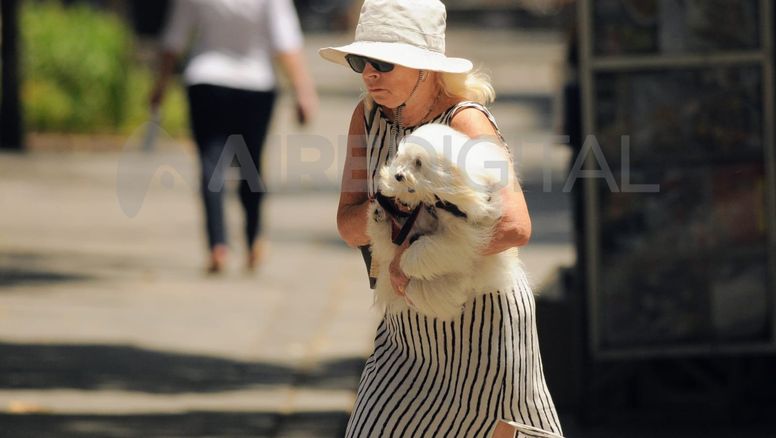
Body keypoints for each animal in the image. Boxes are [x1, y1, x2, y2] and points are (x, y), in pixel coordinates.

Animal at [366, 125, 524, 320]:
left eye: (418, 162)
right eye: (401, 158)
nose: (398, 176)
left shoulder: (463, 237)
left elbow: (428, 247)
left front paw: (407, 262)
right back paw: (378, 215)